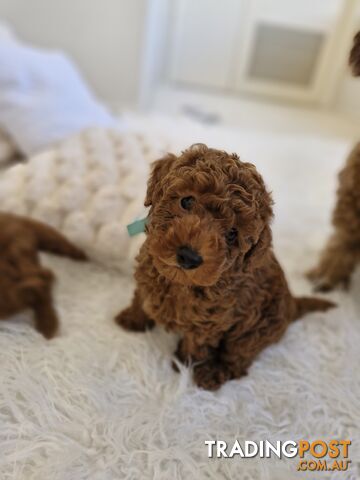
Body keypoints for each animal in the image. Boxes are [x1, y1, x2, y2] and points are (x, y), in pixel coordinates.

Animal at [116, 143, 334, 390]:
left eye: (232, 235)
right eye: (186, 201)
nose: (189, 257)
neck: (177, 282)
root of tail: (292, 303)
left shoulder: (211, 320)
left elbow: (197, 342)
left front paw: (185, 363)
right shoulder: (146, 274)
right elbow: (140, 298)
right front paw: (131, 318)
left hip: (256, 330)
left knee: (238, 356)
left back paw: (213, 372)